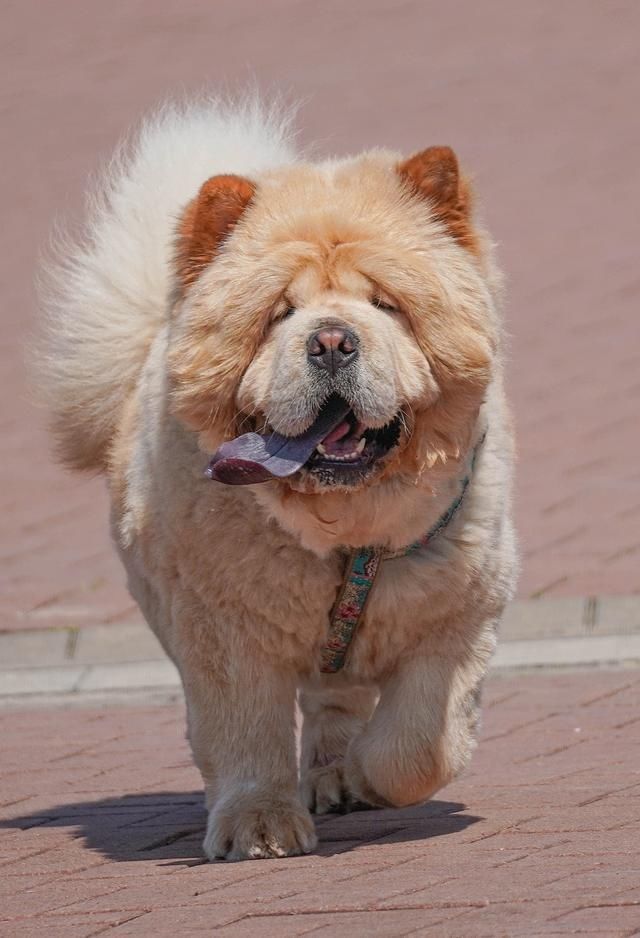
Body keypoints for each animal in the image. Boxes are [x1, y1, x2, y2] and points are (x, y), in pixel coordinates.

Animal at [40, 98, 516, 860]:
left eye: (385, 304)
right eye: (280, 314)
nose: (332, 340)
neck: (346, 537)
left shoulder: (461, 615)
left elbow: (421, 744)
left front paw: (368, 775)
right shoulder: (226, 627)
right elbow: (245, 733)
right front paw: (259, 826)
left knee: (338, 702)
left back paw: (338, 774)